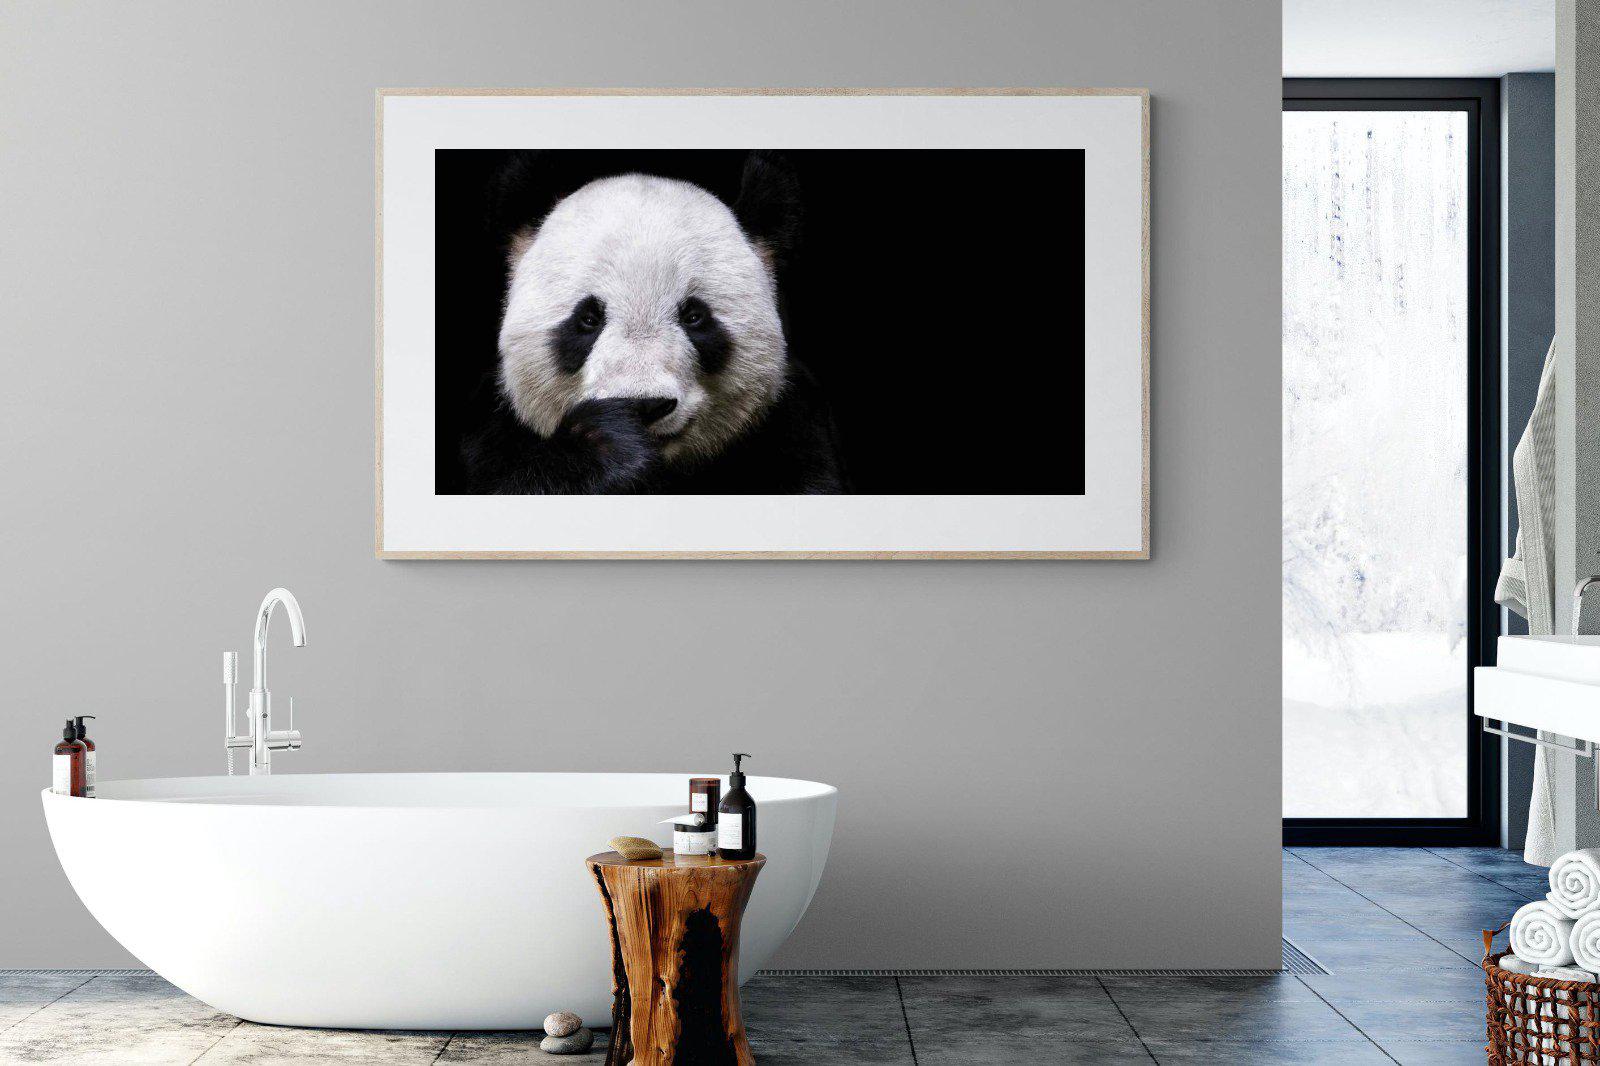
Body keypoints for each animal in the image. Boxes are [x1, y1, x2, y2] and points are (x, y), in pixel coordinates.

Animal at [460, 152, 848, 494]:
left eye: (694, 317)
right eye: (588, 319)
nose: (644, 405)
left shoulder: (793, 432)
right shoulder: (495, 437)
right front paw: (609, 441)